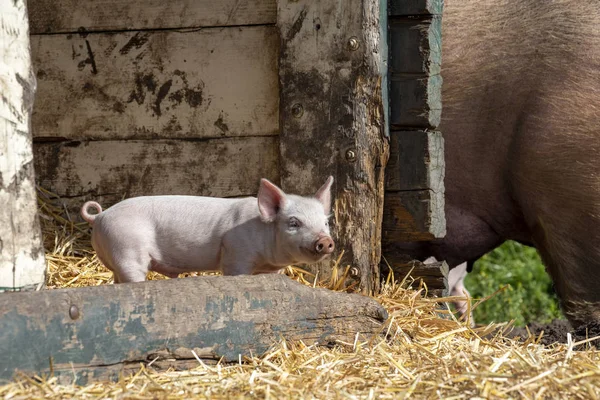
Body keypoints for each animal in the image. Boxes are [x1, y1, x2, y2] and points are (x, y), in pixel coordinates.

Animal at [80, 177, 336, 282]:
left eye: (325, 222)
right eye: (294, 223)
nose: (324, 240)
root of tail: (100, 216)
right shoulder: (236, 254)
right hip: (127, 249)